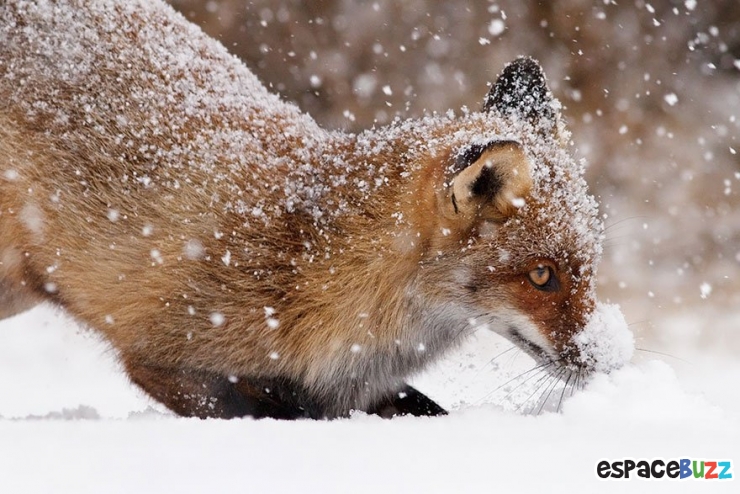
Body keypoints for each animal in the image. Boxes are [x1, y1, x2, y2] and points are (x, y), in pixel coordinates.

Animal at [0, 0, 632, 420]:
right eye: (542, 276)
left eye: (588, 269)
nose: (612, 358)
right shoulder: (167, 359)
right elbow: (269, 412)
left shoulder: (355, 388)